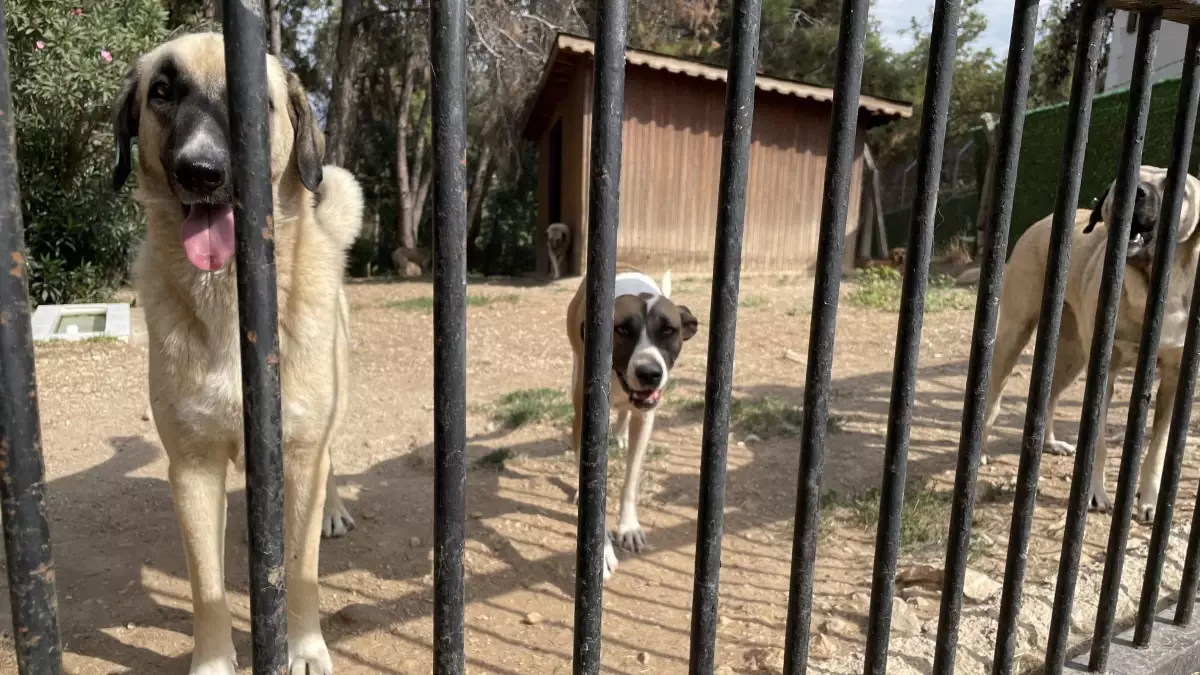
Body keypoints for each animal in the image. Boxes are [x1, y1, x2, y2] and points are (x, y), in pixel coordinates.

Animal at [114, 32, 362, 672]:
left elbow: (299, 573)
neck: (230, 297)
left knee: (329, 462)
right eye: (162, 91)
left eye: (254, 102)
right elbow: (207, 587)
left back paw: (328, 510)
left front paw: (303, 648)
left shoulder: (299, 449)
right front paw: (212, 661)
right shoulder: (192, 467)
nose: (200, 171)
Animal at [984, 164, 1200, 521]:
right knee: (993, 399)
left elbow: (1157, 447)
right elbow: (1097, 442)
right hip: (1014, 335)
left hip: (1072, 357)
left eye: (1176, 185)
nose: (1135, 190)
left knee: (1050, 396)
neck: (1148, 292)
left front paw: (1149, 499)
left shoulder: (1172, 380)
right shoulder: (1105, 373)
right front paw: (1094, 493)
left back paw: (1050, 443)